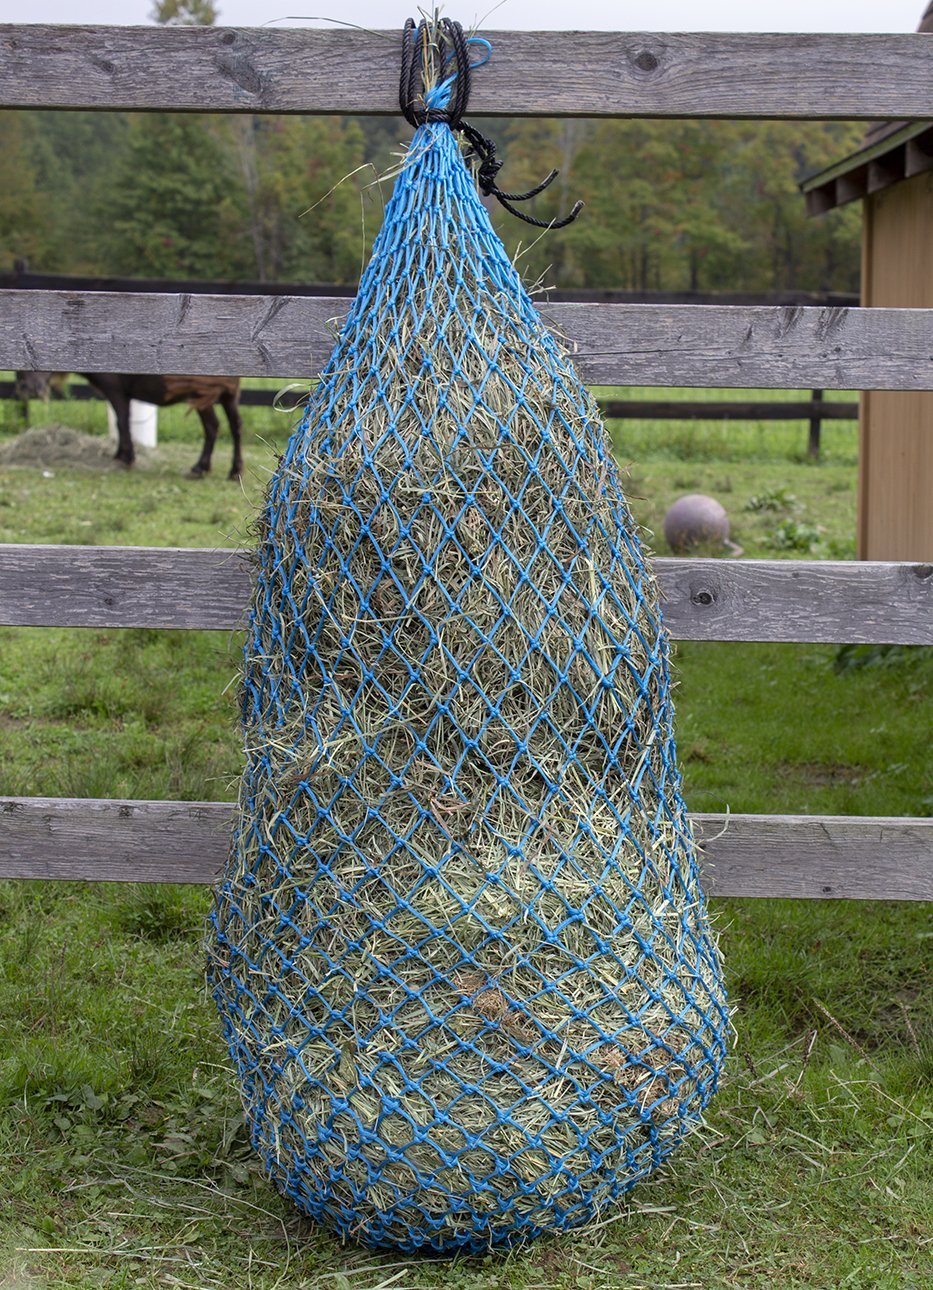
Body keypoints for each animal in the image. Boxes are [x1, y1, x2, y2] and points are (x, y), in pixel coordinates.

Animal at [14, 371, 244, 480]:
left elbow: (122, 421)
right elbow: (121, 423)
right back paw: (213, 468)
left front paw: (126, 457)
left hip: (205, 393)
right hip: (222, 396)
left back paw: (225, 469)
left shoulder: (115, 389)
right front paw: (120, 453)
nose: (31, 389)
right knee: (226, 427)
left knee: (222, 427)